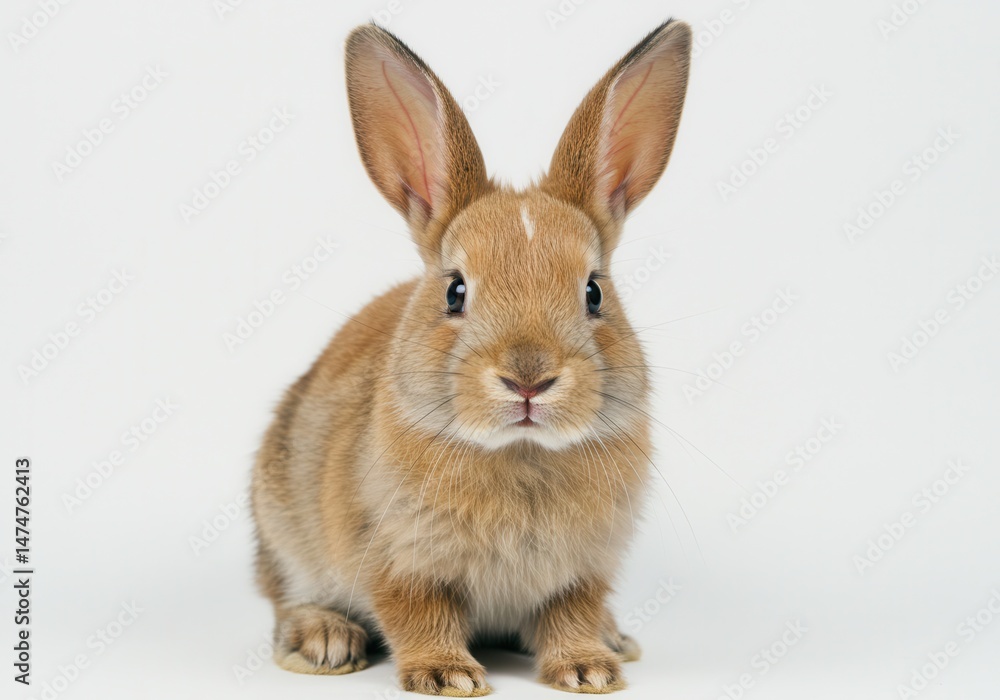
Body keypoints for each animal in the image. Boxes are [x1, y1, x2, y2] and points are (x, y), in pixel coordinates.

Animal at [251, 18, 691, 696]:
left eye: (594, 293)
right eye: (455, 291)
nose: (528, 379)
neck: (521, 452)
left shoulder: (582, 573)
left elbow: (571, 614)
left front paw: (589, 669)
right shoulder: (397, 560)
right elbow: (417, 613)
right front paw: (447, 675)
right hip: (282, 523)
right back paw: (324, 641)